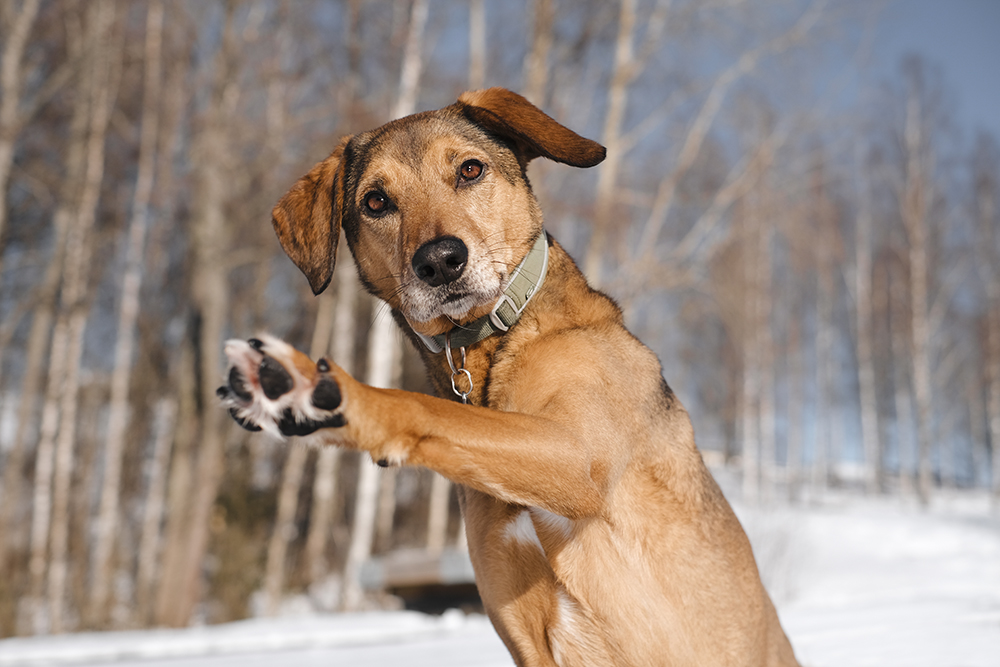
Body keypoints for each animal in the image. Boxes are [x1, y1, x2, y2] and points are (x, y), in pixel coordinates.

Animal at [219, 90, 796, 667]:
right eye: (375, 202)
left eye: (471, 170)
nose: (440, 261)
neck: (495, 345)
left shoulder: (577, 454)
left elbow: (430, 410)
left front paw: (328, 394)